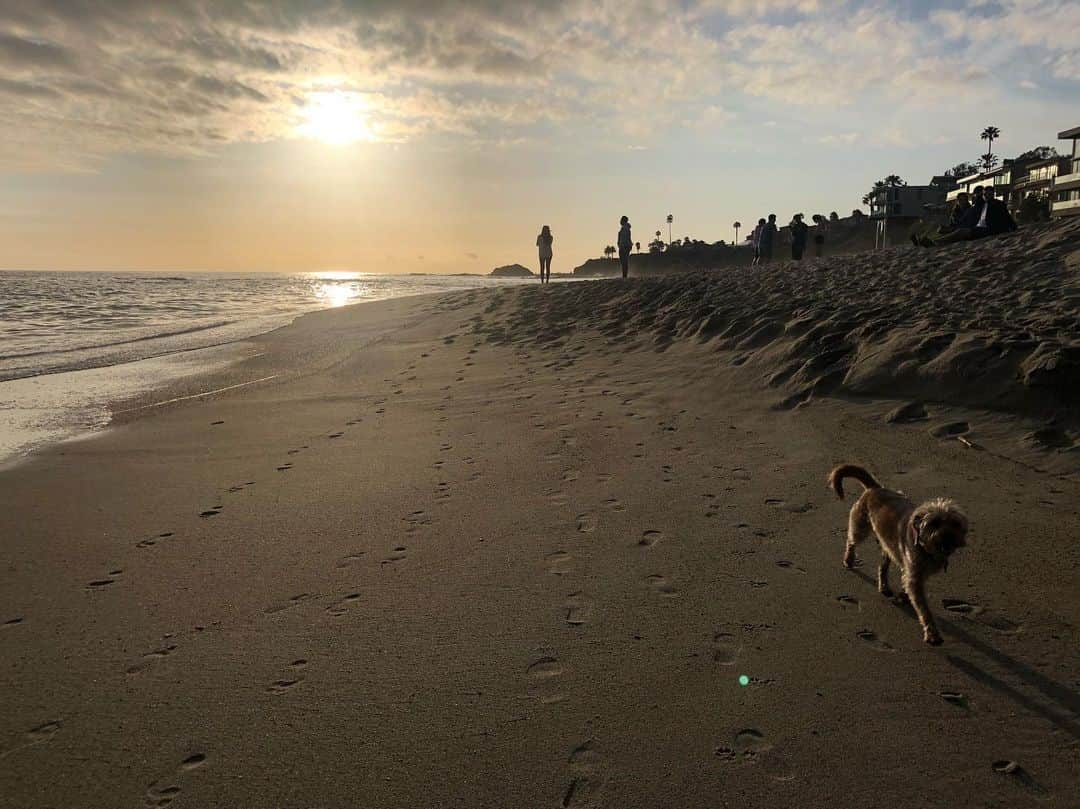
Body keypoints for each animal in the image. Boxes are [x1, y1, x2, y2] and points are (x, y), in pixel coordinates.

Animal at [825, 460, 972, 643]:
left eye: (955, 524)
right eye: (935, 523)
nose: (949, 537)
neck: (925, 549)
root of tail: (875, 488)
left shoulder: (912, 574)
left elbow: (906, 584)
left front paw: (903, 596)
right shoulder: (915, 578)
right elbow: (924, 609)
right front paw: (932, 633)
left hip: (887, 545)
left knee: (882, 566)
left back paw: (884, 587)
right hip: (860, 527)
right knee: (852, 542)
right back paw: (849, 560)